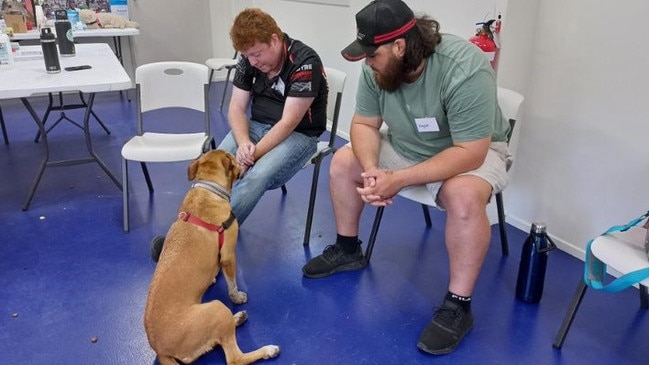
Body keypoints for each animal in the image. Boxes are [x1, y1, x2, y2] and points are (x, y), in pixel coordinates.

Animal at [144, 149, 278, 362]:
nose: (243, 161)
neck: (209, 189)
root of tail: (160, 350)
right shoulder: (228, 255)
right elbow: (232, 283)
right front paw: (236, 296)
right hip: (216, 308)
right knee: (235, 359)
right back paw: (268, 350)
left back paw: (238, 318)